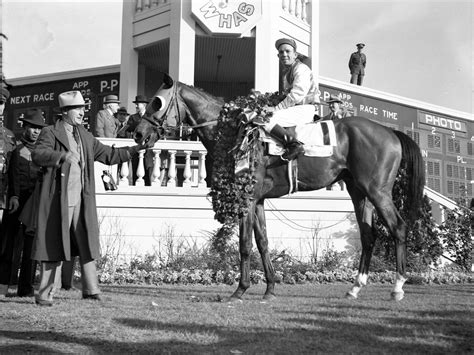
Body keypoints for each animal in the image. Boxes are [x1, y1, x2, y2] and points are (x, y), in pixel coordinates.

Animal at [134, 73, 426, 302]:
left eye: (156, 102)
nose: (138, 134)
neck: (232, 130)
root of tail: (390, 132)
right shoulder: (259, 200)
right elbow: (263, 242)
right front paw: (270, 288)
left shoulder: (247, 199)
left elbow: (244, 244)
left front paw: (240, 290)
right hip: (359, 193)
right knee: (368, 235)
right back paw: (355, 288)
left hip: (378, 191)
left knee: (399, 228)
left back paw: (398, 287)